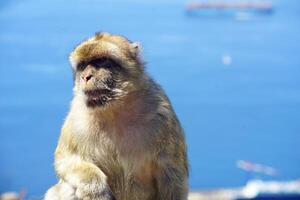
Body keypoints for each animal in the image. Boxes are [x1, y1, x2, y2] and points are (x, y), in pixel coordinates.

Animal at [44, 32, 189, 200]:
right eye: (83, 66)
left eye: (101, 61)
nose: (86, 76)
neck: (114, 110)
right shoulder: (76, 117)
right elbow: (66, 159)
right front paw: (95, 187)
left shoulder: (162, 115)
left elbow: (171, 174)